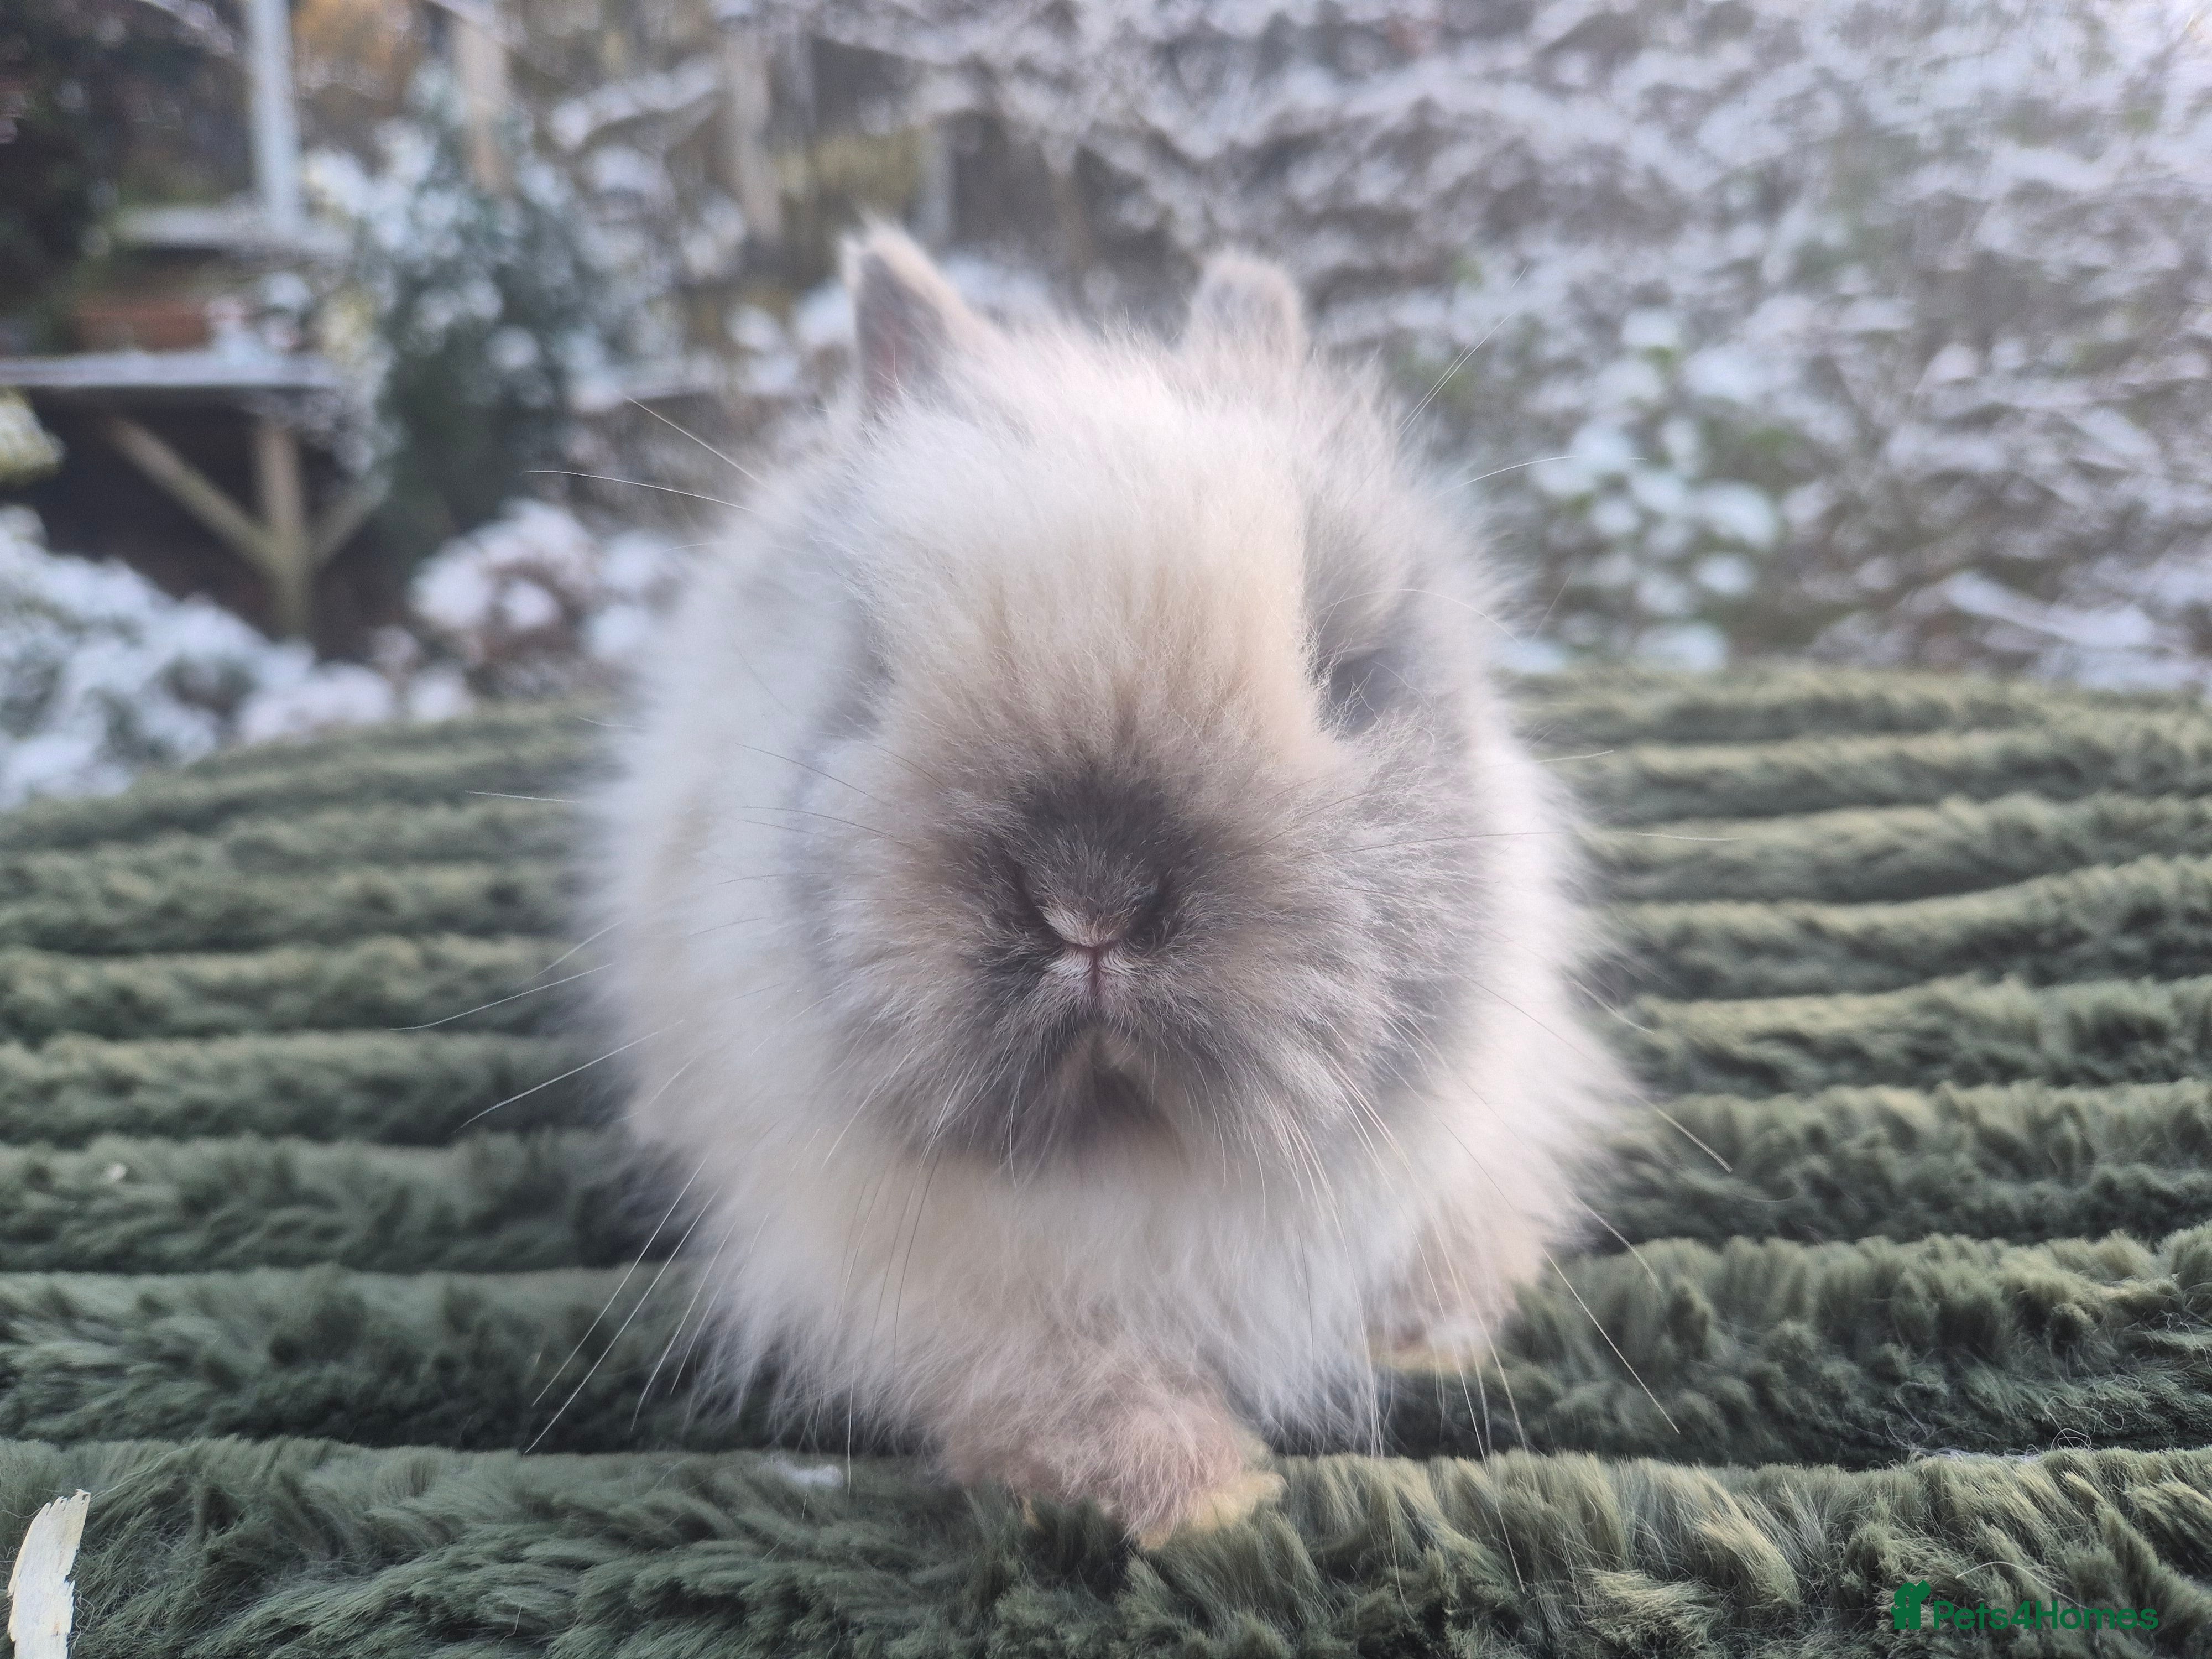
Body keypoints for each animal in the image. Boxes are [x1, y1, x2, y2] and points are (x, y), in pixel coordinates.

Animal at [594, 225, 1620, 1545]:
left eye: (1347, 675)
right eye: (875, 673)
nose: (1091, 902)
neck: (1137, 1156)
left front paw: (1427, 1341)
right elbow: (1057, 1385)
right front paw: (1199, 1491)